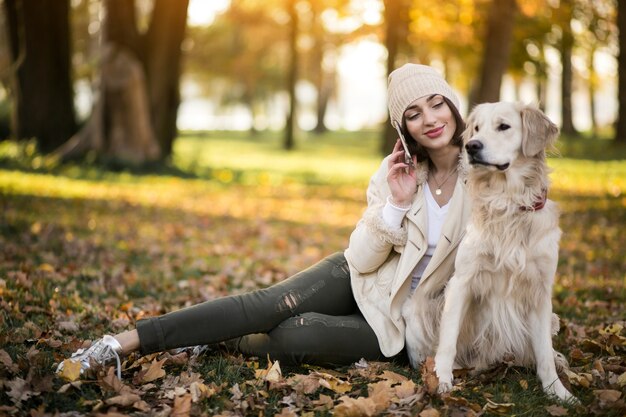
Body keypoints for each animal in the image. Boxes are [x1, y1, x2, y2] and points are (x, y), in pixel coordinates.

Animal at [402, 100, 572, 400]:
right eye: (477, 128)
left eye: (503, 126)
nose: (472, 146)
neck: (507, 203)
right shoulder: (462, 281)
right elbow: (448, 339)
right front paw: (441, 379)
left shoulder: (540, 290)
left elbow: (544, 352)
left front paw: (558, 391)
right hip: (416, 310)